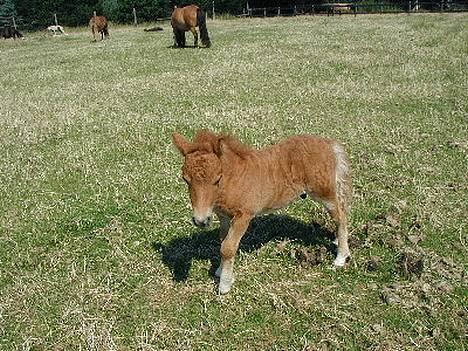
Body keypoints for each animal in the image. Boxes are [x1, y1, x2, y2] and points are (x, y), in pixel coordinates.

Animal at [173, 129, 352, 294]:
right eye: (185, 179)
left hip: (325, 193)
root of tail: (328, 144)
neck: (234, 180)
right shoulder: (223, 216)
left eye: (217, 179)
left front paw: (224, 284)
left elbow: (228, 247)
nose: (200, 221)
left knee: (340, 216)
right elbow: (223, 242)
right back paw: (337, 242)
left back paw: (341, 257)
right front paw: (220, 271)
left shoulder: (243, 216)